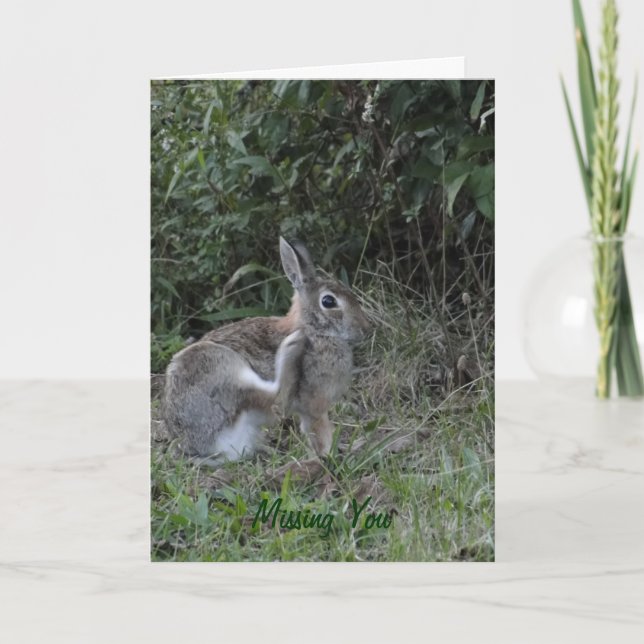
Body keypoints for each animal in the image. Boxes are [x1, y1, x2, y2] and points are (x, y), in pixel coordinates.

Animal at [162, 237, 371, 465]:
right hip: (222, 367)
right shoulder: (315, 403)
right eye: (328, 301)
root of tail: (197, 446)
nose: (365, 329)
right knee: (276, 399)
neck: (313, 329)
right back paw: (292, 345)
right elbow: (318, 430)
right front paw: (329, 455)